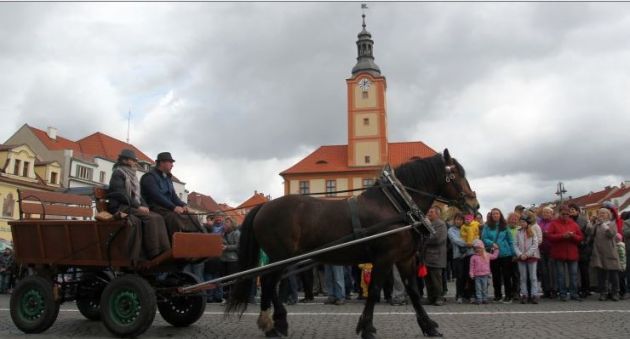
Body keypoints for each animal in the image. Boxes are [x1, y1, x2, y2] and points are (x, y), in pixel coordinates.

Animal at [227, 150, 478, 338]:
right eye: (456, 174)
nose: (474, 204)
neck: (397, 205)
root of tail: (264, 207)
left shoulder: (405, 258)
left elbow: (414, 292)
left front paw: (428, 326)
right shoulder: (385, 258)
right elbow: (374, 291)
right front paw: (366, 328)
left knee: (270, 283)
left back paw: (276, 323)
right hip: (280, 257)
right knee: (269, 283)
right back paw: (272, 324)